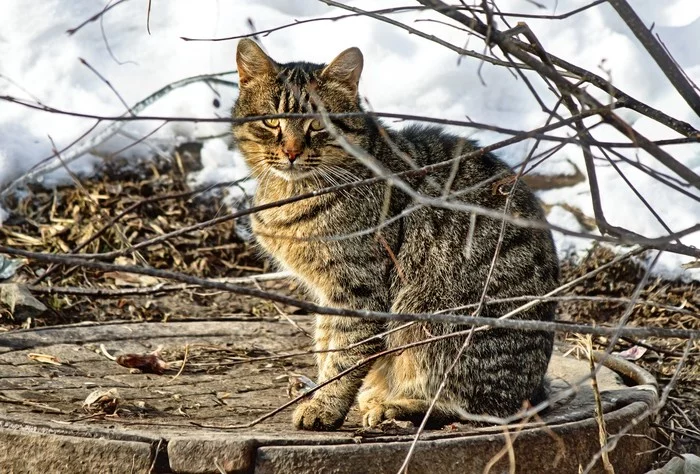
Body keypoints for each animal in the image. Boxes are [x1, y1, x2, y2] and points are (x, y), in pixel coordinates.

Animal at [232, 39, 560, 432]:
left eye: (318, 125)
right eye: (271, 121)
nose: (292, 152)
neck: (291, 194)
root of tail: (534, 387)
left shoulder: (359, 290)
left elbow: (344, 357)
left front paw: (324, 406)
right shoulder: (327, 293)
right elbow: (326, 346)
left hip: (432, 318)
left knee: (477, 407)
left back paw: (398, 407)